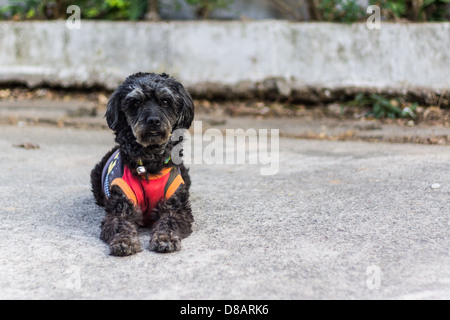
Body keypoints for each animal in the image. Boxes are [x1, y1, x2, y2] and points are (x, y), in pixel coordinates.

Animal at [91, 72, 195, 255]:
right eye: (135, 103)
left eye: (165, 101)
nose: (153, 121)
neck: (150, 164)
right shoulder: (120, 207)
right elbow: (121, 224)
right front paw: (124, 241)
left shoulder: (177, 208)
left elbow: (169, 221)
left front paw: (165, 238)